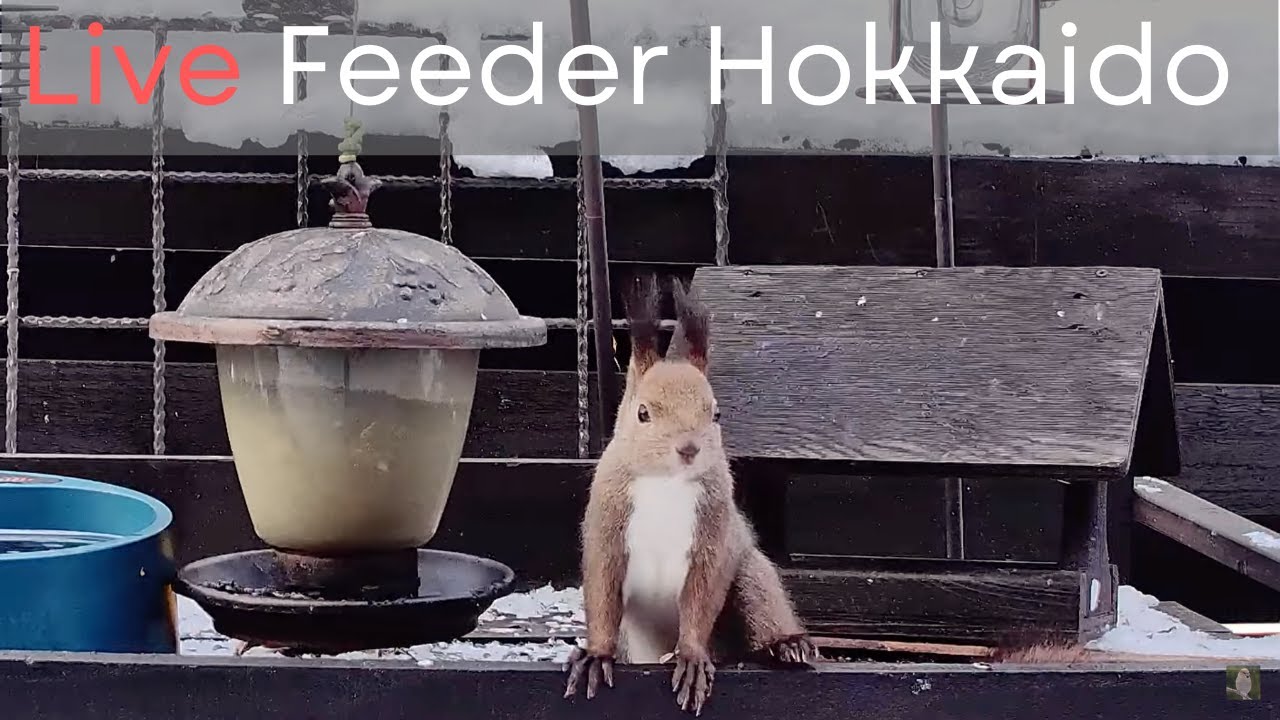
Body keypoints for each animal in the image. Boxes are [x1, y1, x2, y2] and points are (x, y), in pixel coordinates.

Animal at [563, 274, 816, 715]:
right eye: (643, 413)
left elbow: (701, 597)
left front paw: (693, 657)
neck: (667, 482)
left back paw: (786, 644)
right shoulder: (606, 523)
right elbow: (601, 590)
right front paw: (595, 655)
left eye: (716, 414)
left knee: (761, 605)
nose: (689, 448)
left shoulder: (714, 531)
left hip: (750, 574)